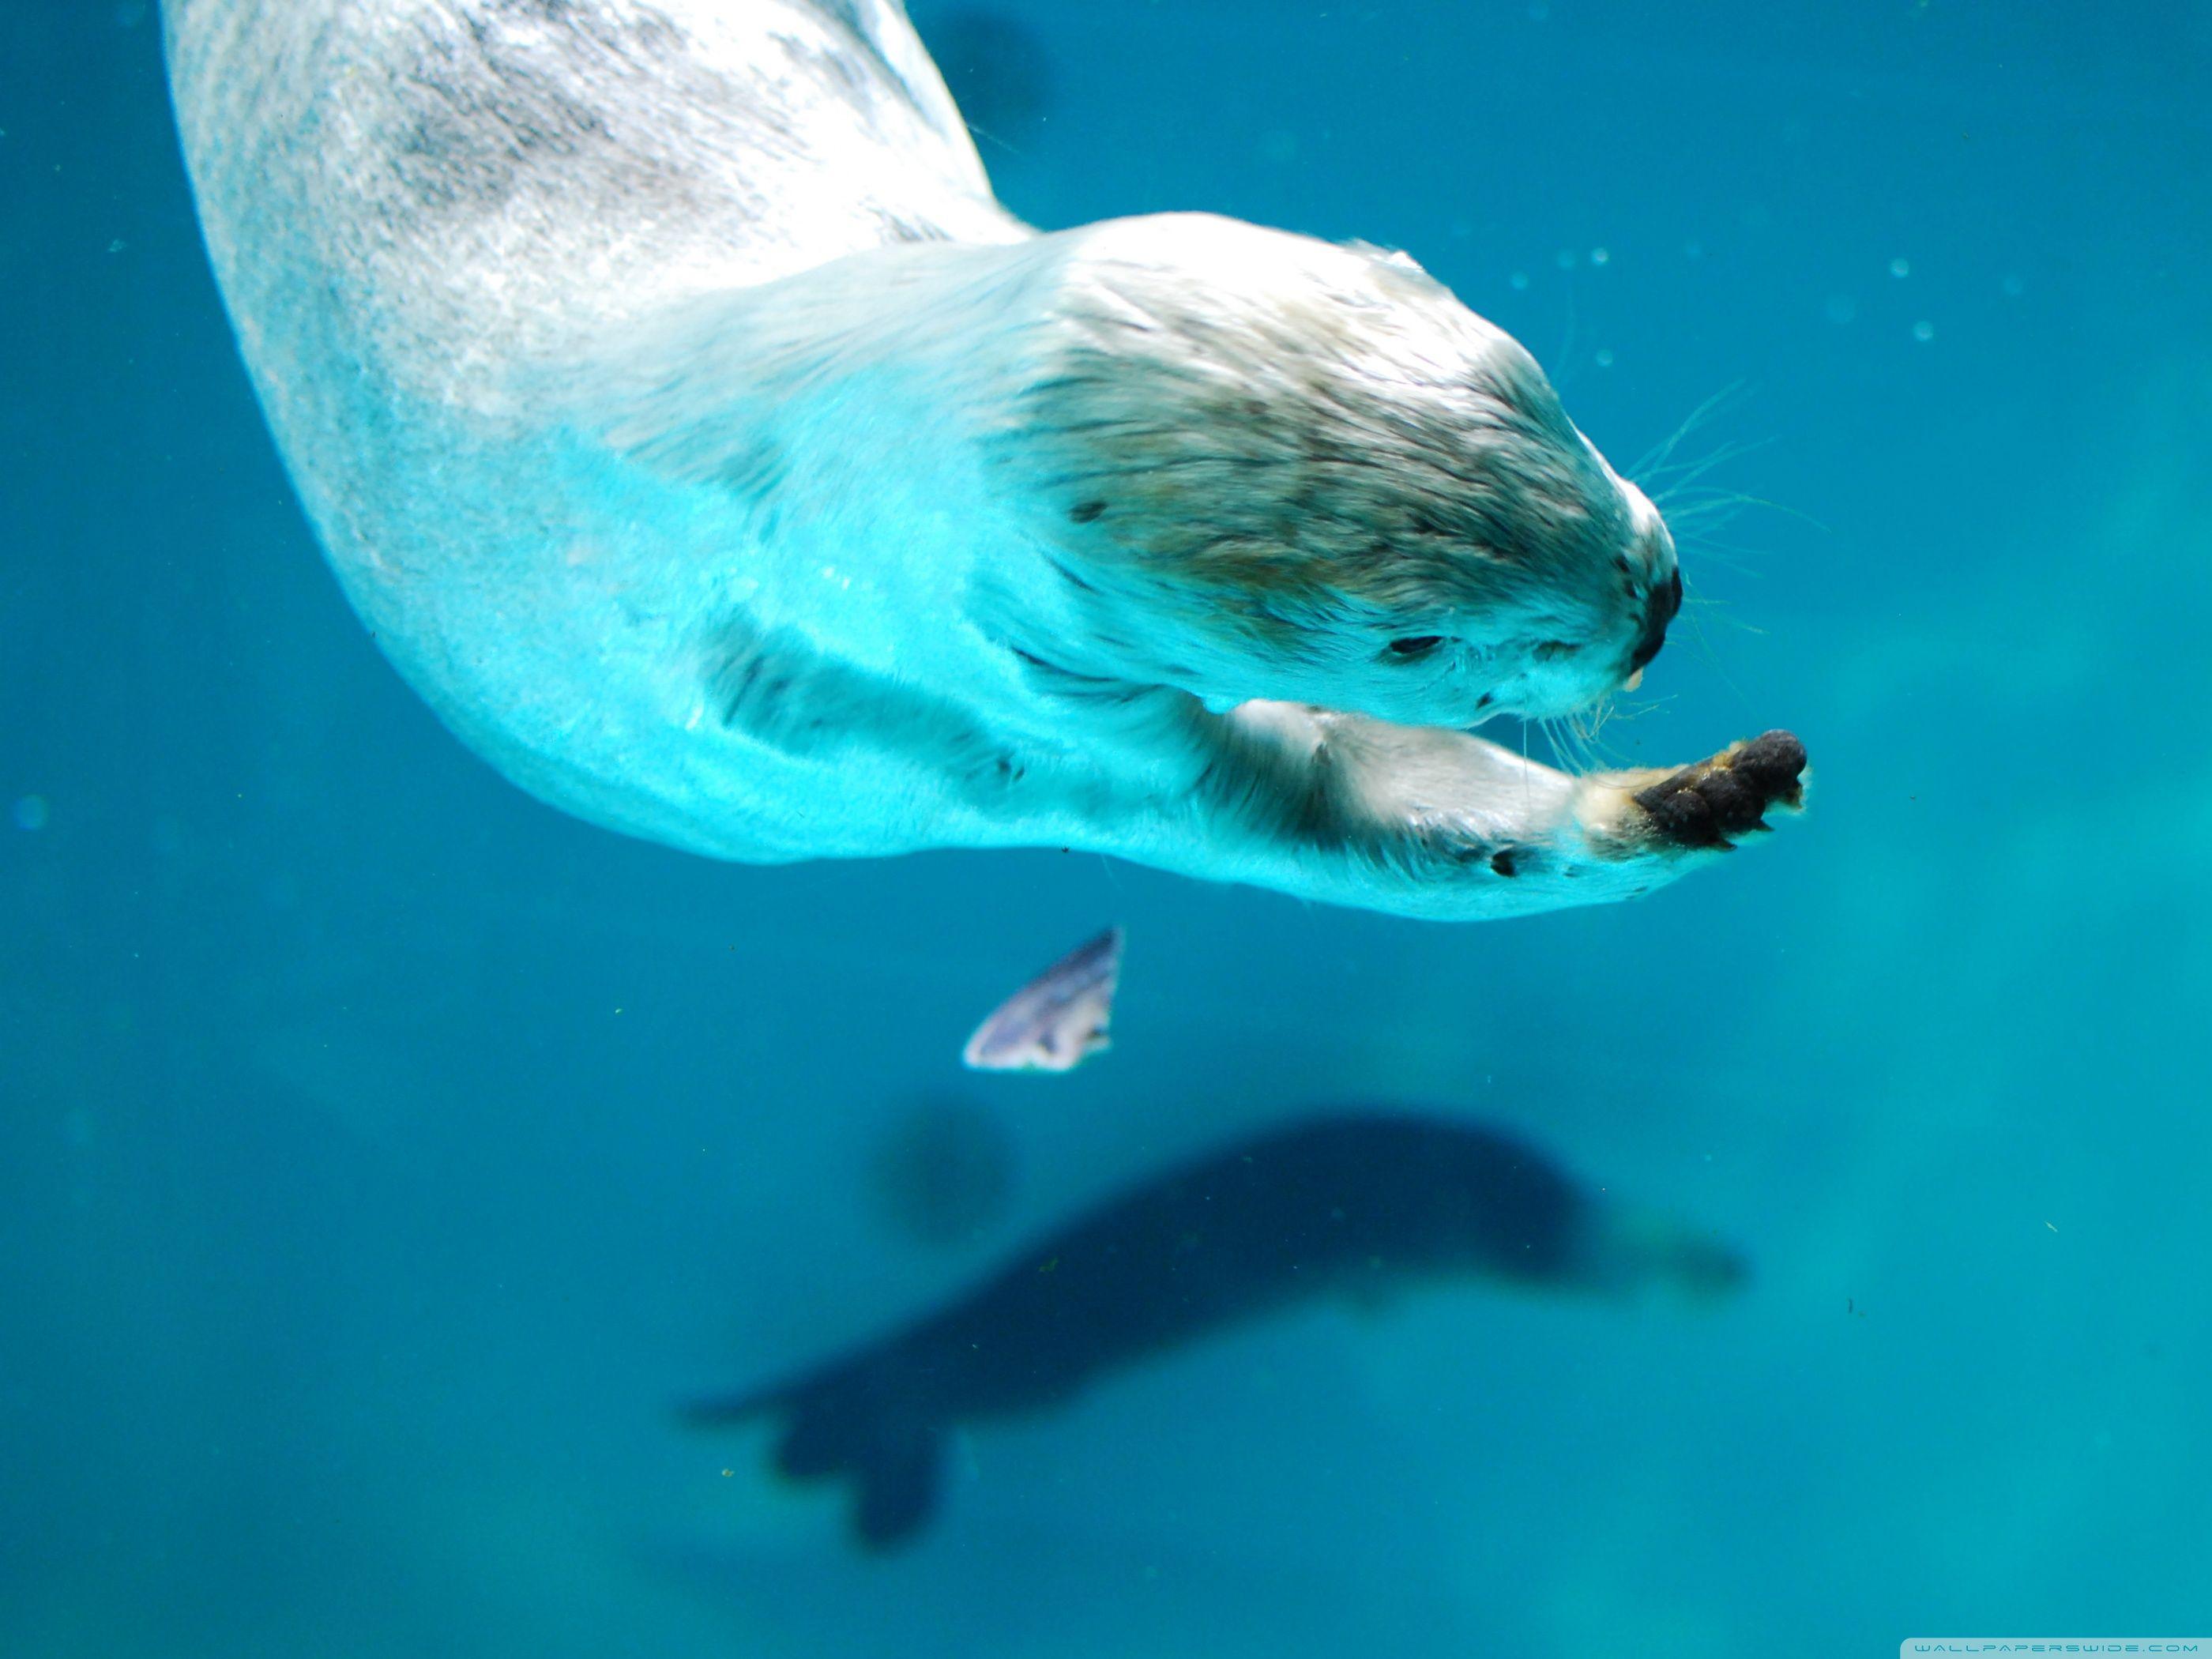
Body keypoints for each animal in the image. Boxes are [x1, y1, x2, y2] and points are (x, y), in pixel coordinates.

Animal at [163, 0, 1804, 920]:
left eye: (1530, 379)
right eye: (1412, 640)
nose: (1654, 601)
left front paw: (1709, 789)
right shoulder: (951, 711)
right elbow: (1321, 821)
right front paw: (1686, 800)